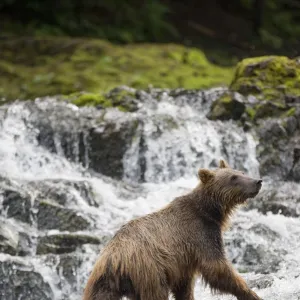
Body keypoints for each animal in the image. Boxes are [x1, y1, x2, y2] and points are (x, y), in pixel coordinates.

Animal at [84, 162, 262, 300]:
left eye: (241, 172)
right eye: (233, 178)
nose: (257, 181)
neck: (211, 211)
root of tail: (113, 258)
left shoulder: (184, 261)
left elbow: (184, 286)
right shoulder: (201, 233)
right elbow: (217, 268)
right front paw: (250, 293)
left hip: (104, 282)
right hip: (150, 271)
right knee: (156, 294)